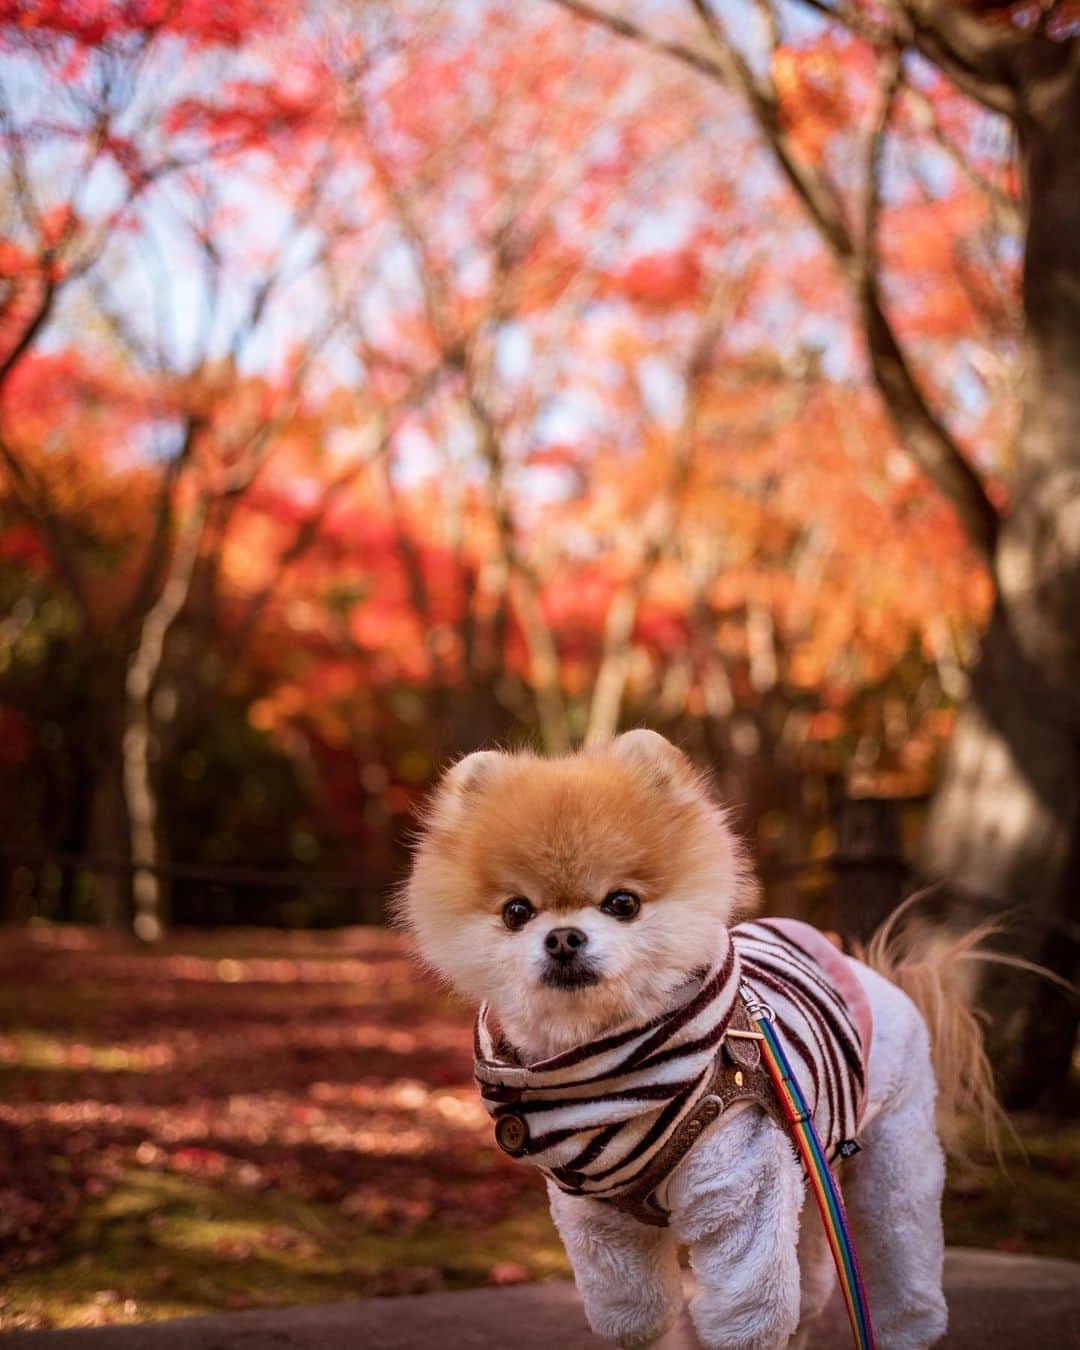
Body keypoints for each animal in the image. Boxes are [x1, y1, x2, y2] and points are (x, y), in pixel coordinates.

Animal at [399, 734, 999, 1350]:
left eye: (622, 903)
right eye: (517, 911)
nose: (563, 938)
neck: (615, 1076)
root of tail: (875, 972)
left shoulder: (741, 1194)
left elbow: (747, 1316)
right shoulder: (601, 1226)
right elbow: (639, 1317)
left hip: (894, 1164)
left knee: (899, 1252)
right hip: (815, 1177)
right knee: (813, 1289)